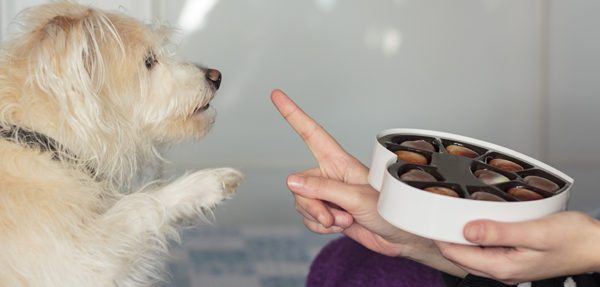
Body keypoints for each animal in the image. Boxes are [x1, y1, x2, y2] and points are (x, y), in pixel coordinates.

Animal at [1, 1, 241, 286]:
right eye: (148, 61)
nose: (216, 76)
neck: (41, 140)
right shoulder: (82, 262)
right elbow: (138, 205)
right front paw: (205, 184)